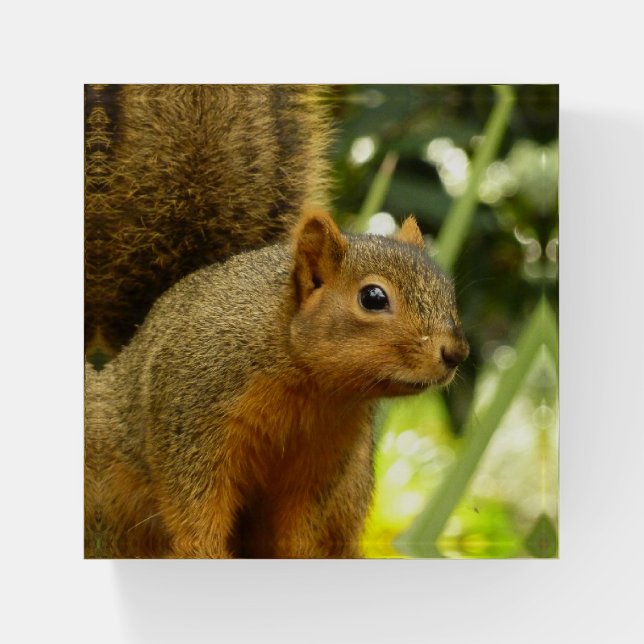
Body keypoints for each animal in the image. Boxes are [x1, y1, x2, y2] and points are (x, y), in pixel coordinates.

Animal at [85, 208, 469, 558]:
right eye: (373, 297)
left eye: (448, 291)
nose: (456, 352)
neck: (311, 387)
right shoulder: (192, 419)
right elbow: (194, 506)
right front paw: (202, 547)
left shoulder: (323, 456)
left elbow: (300, 525)